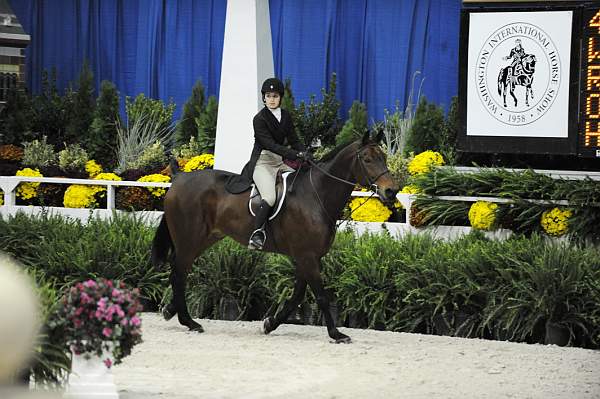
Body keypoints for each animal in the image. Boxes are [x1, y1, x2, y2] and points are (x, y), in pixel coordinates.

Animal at [151, 130, 398, 344]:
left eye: (384, 157)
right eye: (367, 159)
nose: (391, 191)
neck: (317, 196)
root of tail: (179, 178)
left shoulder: (308, 257)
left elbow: (297, 296)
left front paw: (270, 324)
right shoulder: (307, 256)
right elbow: (320, 296)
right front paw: (337, 334)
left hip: (204, 238)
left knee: (180, 271)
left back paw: (172, 311)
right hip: (189, 238)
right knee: (178, 272)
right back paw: (189, 321)